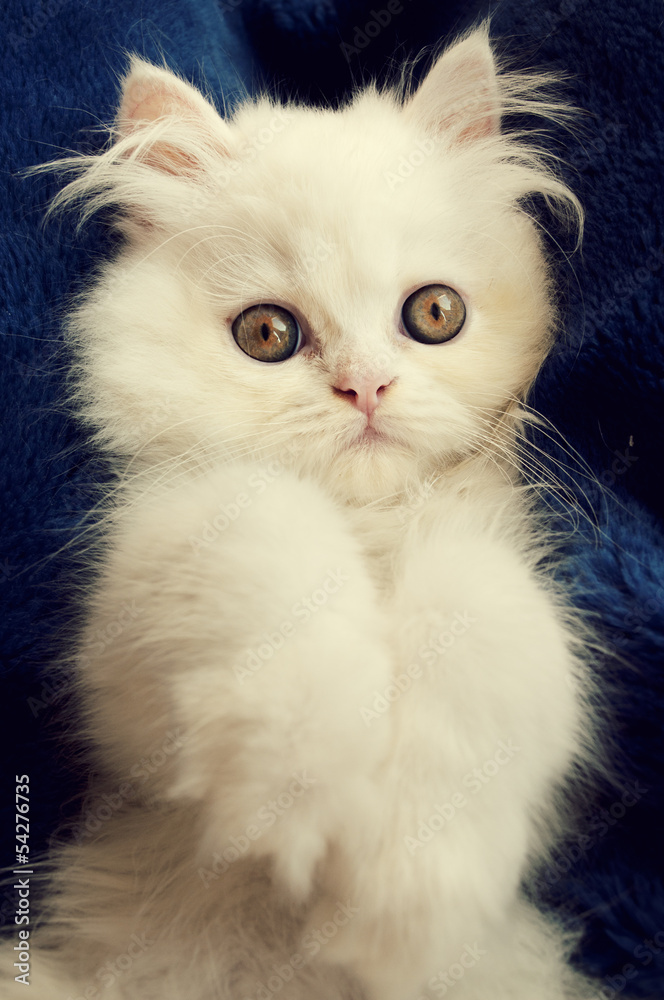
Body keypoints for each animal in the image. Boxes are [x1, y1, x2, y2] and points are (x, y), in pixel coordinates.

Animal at [0, 23, 604, 1000]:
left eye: (435, 313)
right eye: (267, 334)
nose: (365, 387)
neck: (368, 527)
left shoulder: (489, 557)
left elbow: (479, 615)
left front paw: (410, 899)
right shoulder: (125, 678)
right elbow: (267, 537)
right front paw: (306, 792)